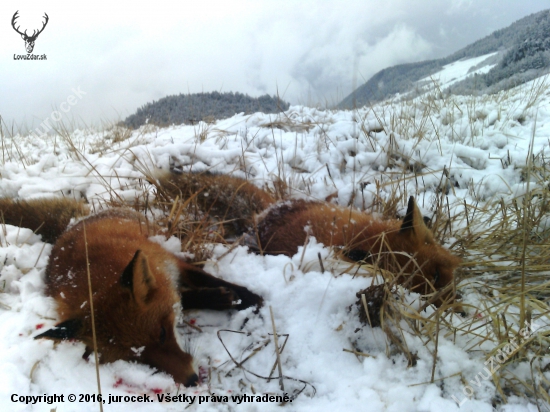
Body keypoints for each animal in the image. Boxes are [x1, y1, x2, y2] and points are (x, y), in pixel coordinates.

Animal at [0, 201, 264, 384]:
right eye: (137, 358)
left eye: (162, 333)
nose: (191, 380)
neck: (99, 273)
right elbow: (184, 297)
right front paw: (221, 297)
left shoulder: (169, 261)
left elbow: (204, 279)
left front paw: (249, 298)